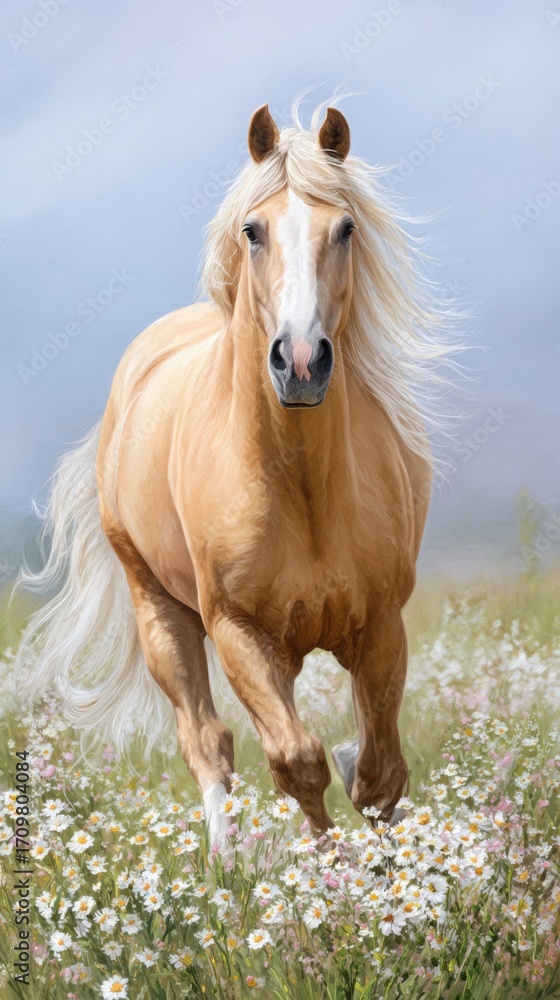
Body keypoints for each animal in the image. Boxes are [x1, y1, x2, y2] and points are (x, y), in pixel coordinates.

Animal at [15, 102, 446, 848]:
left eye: (345, 228)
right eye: (253, 231)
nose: (300, 362)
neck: (302, 489)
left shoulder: (381, 626)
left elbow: (379, 774)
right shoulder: (239, 631)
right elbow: (297, 761)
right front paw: (323, 869)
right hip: (163, 615)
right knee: (206, 739)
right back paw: (223, 859)